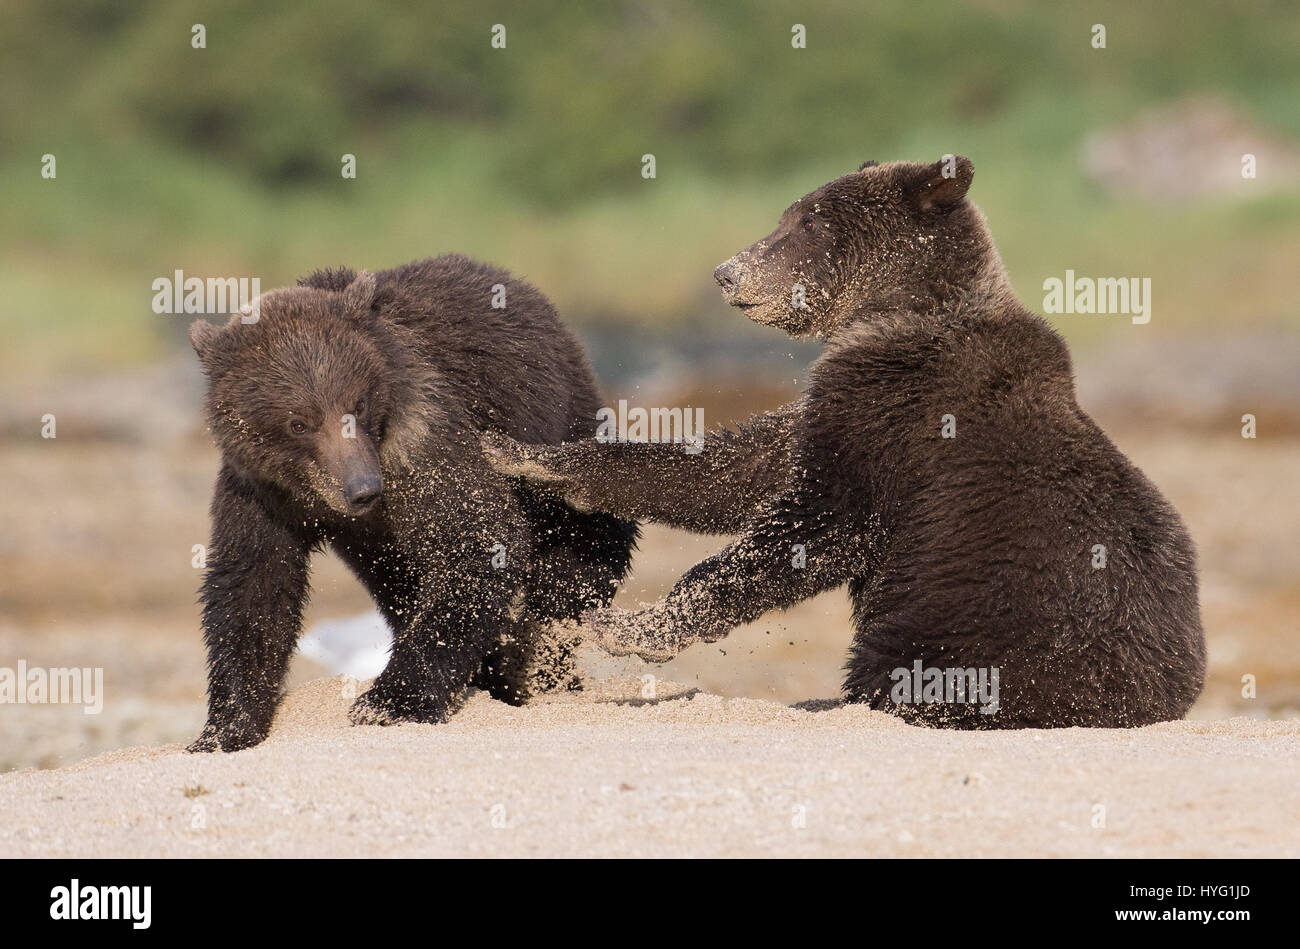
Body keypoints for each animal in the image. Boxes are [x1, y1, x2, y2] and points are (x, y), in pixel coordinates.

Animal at [187, 255, 638, 752]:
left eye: (358, 404)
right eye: (298, 422)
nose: (363, 488)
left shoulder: (421, 439)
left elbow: (477, 539)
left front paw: (389, 702)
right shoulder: (259, 489)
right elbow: (252, 585)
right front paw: (226, 726)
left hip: (560, 444)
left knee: (579, 559)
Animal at [483, 156, 1206, 728]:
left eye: (809, 221)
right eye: (788, 215)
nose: (727, 271)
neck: (894, 317)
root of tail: (1175, 694)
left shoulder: (897, 417)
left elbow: (817, 525)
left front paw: (633, 626)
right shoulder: (835, 405)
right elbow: (730, 471)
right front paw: (526, 456)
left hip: (981, 626)